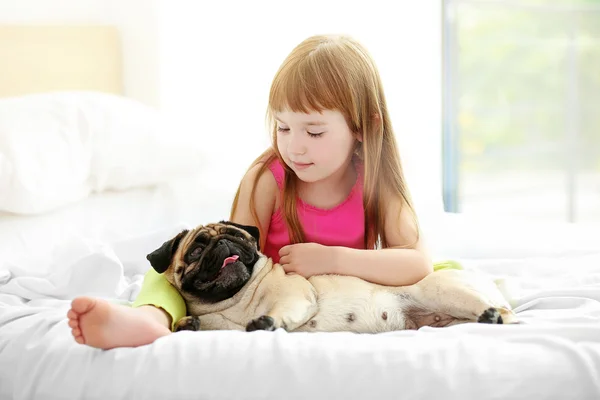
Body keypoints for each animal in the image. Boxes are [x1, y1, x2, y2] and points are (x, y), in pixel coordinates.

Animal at [145, 220, 516, 332]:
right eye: (196, 252)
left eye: (238, 237)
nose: (224, 244)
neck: (233, 301)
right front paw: (187, 324)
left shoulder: (294, 297)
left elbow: (279, 311)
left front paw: (266, 322)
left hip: (446, 292)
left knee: (504, 313)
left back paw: (491, 315)